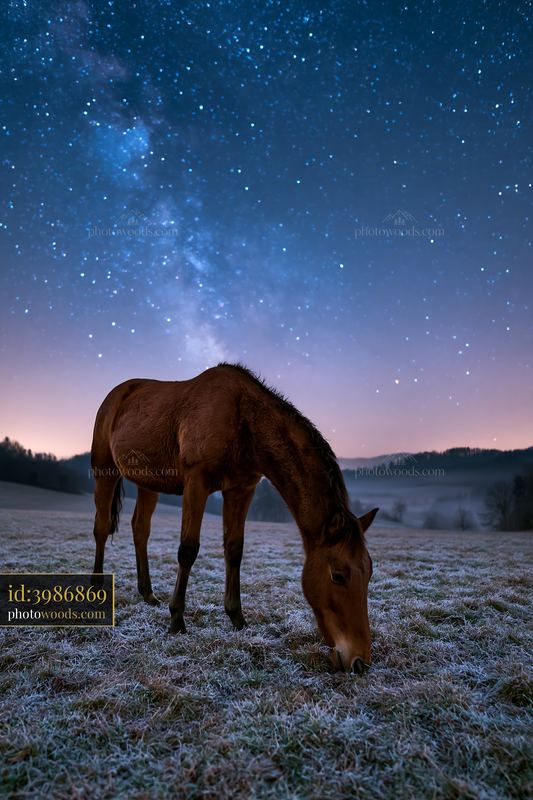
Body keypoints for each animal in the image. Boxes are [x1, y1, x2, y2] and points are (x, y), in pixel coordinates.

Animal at [90, 363, 378, 673]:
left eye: (369, 572)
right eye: (338, 575)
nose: (359, 662)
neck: (243, 420)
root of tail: (117, 394)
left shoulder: (241, 489)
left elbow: (234, 550)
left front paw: (237, 617)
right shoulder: (196, 482)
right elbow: (188, 550)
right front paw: (177, 620)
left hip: (149, 482)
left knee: (140, 528)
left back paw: (147, 593)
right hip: (105, 470)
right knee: (101, 527)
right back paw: (96, 586)